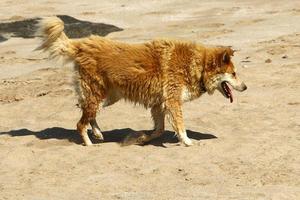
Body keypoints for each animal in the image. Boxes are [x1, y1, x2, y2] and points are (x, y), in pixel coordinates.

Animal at [35, 17, 246, 146]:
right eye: (234, 74)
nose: (245, 87)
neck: (197, 65)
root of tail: (82, 45)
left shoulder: (159, 105)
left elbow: (159, 130)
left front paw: (143, 138)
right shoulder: (172, 102)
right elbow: (180, 125)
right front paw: (186, 141)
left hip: (107, 97)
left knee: (87, 113)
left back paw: (97, 133)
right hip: (97, 95)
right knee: (80, 123)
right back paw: (88, 143)